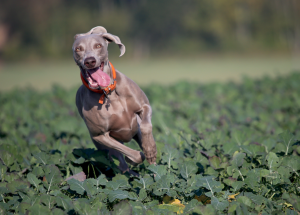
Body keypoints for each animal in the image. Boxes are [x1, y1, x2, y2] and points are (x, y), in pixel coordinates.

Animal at [72, 26, 157, 175]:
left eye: (98, 45)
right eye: (78, 49)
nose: (89, 61)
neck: (107, 93)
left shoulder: (144, 106)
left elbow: (146, 126)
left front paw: (150, 148)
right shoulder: (99, 136)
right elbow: (134, 155)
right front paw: (133, 159)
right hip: (104, 147)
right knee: (121, 163)